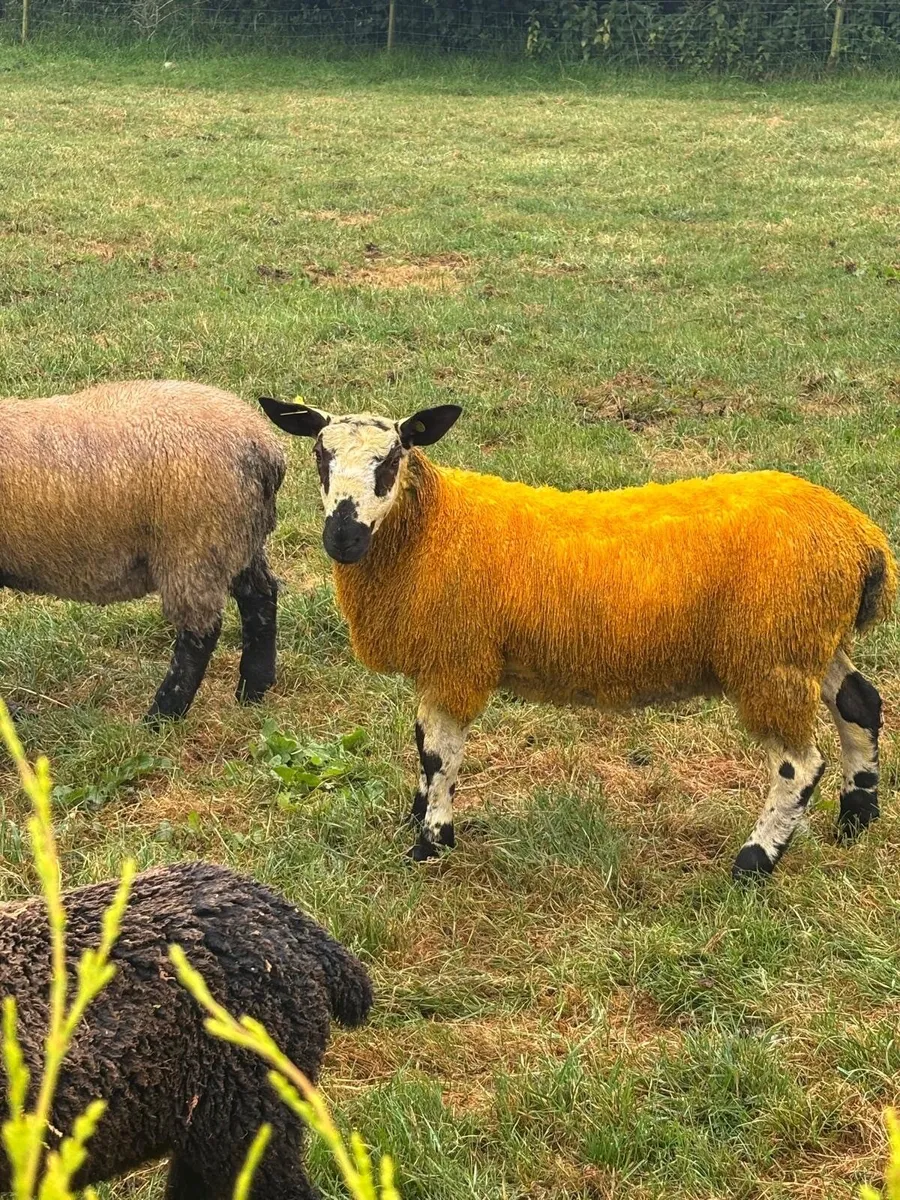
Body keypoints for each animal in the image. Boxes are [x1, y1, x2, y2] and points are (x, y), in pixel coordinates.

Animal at [0, 380, 286, 721]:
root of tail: (264, 447)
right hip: (238, 539)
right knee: (260, 598)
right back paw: (252, 690)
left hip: (194, 545)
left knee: (199, 634)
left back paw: (162, 717)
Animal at [258, 395, 896, 881]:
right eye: (319, 454)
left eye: (392, 459)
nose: (342, 537)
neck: (431, 528)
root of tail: (861, 538)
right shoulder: (439, 661)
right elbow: (422, 747)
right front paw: (417, 819)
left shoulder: (458, 658)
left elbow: (439, 753)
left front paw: (430, 843)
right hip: (809, 641)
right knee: (860, 705)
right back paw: (856, 818)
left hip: (771, 654)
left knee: (798, 765)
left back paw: (754, 862)